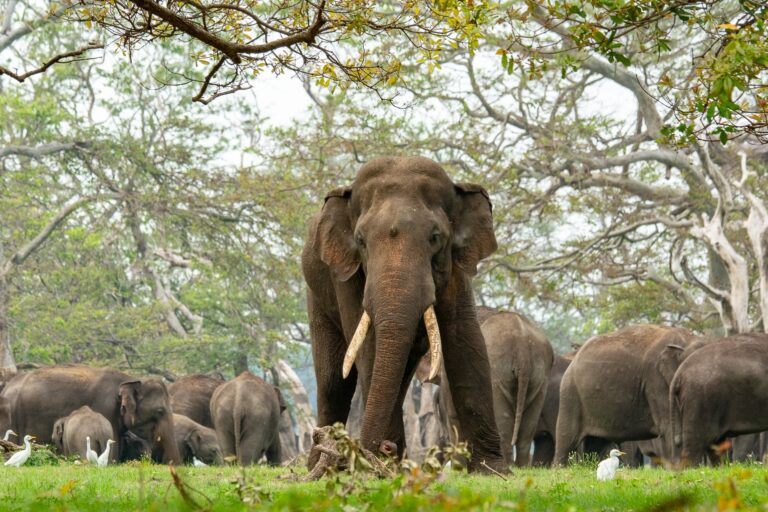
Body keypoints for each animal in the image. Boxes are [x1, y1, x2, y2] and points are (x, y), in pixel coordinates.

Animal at [304, 156, 508, 472]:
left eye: (435, 237)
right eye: (360, 240)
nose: (382, 448)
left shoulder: (456, 267)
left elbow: (466, 340)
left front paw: (493, 470)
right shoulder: (346, 277)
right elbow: (369, 348)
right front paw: (383, 464)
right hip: (316, 296)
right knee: (333, 382)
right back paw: (319, 462)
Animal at [552, 326, 708, 466]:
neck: (688, 339)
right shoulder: (655, 381)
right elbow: (669, 426)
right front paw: (682, 469)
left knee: (594, 444)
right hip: (570, 394)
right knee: (566, 438)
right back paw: (559, 468)